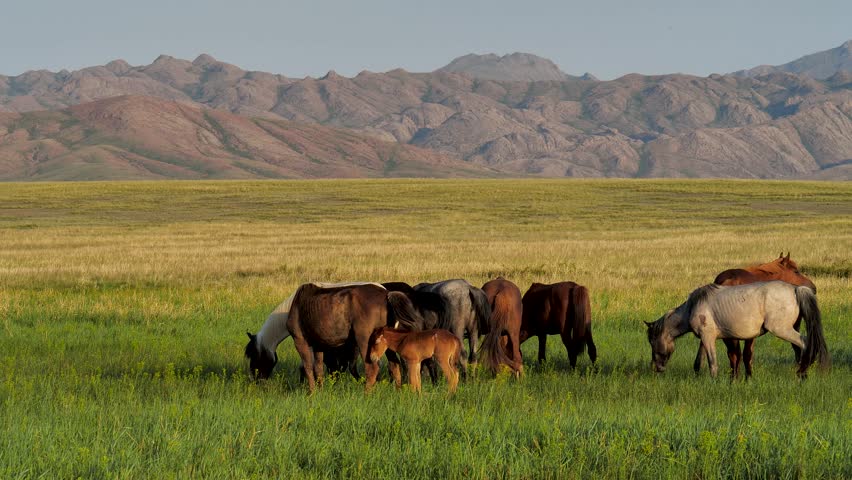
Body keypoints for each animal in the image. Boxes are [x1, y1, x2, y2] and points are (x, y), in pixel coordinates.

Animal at [645, 281, 829, 378]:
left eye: (652, 342)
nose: (656, 368)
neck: (693, 307)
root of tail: (796, 289)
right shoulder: (708, 339)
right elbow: (702, 361)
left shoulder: (708, 338)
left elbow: (713, 363)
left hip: (782, 329)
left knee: (805, 343)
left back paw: (802, 373)